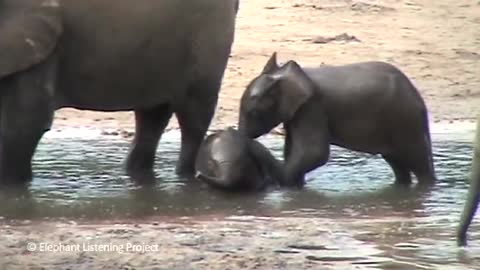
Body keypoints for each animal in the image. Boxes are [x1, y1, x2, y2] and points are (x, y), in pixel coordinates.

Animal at [0, 0, 239, 185]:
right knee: (152, 116)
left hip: (208, 36)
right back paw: (136, 174)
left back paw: (185, 178)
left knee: (193, 115)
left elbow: (23, 123)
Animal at [238, 52, 436, 188]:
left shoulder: (312, 107)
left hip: (406, 121)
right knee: (398, 164)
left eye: (252, 113)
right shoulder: (298, 111)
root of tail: (420, 101)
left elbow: (314, 153)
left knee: (418, 163)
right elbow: (295, 151)